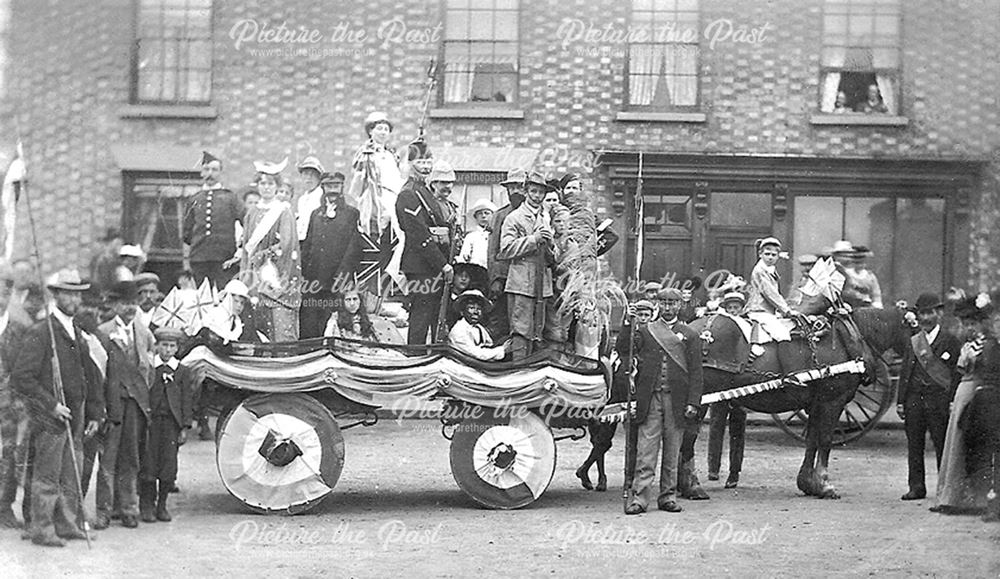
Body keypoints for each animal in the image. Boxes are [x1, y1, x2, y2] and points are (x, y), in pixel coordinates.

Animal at [688, 302, 916, 500]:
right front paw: (824, 484)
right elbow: (825, 440)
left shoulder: (816, 404)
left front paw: (808, 483)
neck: (848, 340)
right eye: (917, 326)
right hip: (699, 400)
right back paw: (693, 487)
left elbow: (812, 440)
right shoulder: (833, 401)